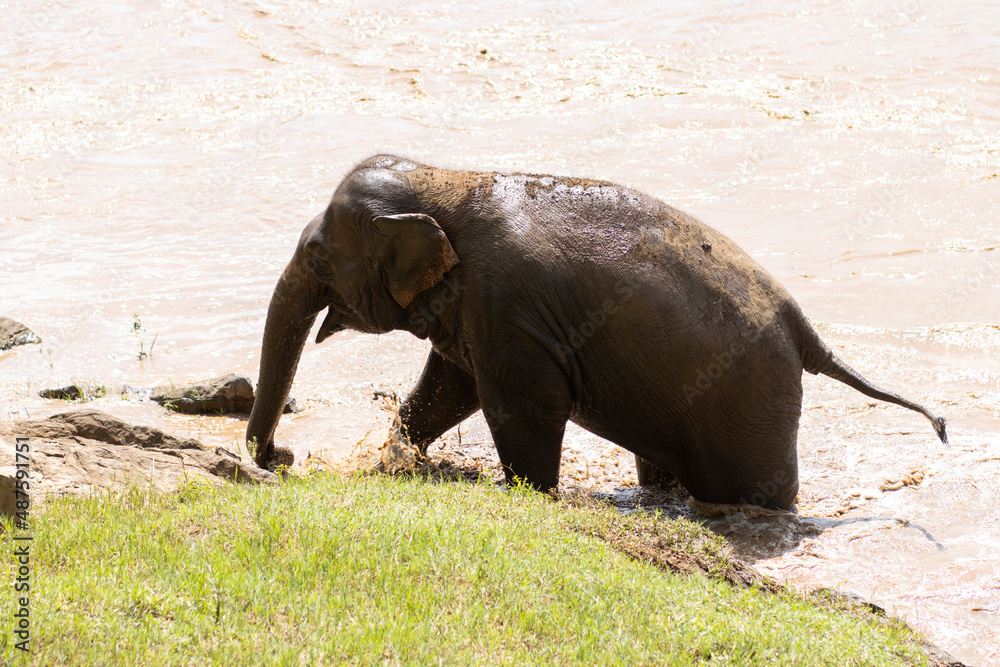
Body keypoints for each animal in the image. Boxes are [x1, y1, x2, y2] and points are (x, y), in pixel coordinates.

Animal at [246, 154, 946, 510]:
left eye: (317, 257)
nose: (279, 458)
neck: (447, 178)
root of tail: (805, 330)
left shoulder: (508, 306)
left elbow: (520, 402)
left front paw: (532, 494)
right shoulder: (480, 314)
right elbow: (452, 387)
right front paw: (395, 459)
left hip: (751, 403)